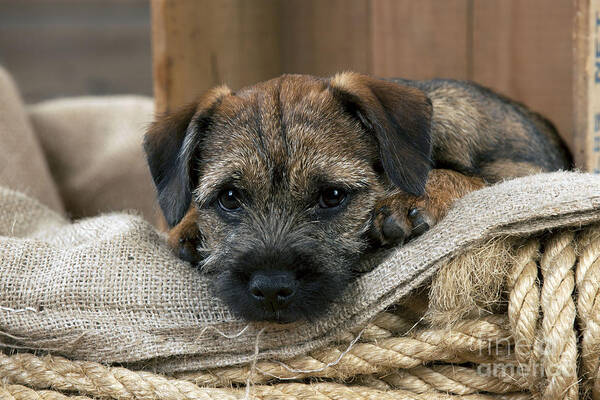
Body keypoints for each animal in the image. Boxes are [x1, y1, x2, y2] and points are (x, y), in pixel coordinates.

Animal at [145, 72, 572, 322]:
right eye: (230, 197)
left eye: (332, 195)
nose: (270, 288)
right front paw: (188, 226)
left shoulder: (523, 171)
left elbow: (468, 177)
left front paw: (413, 198)